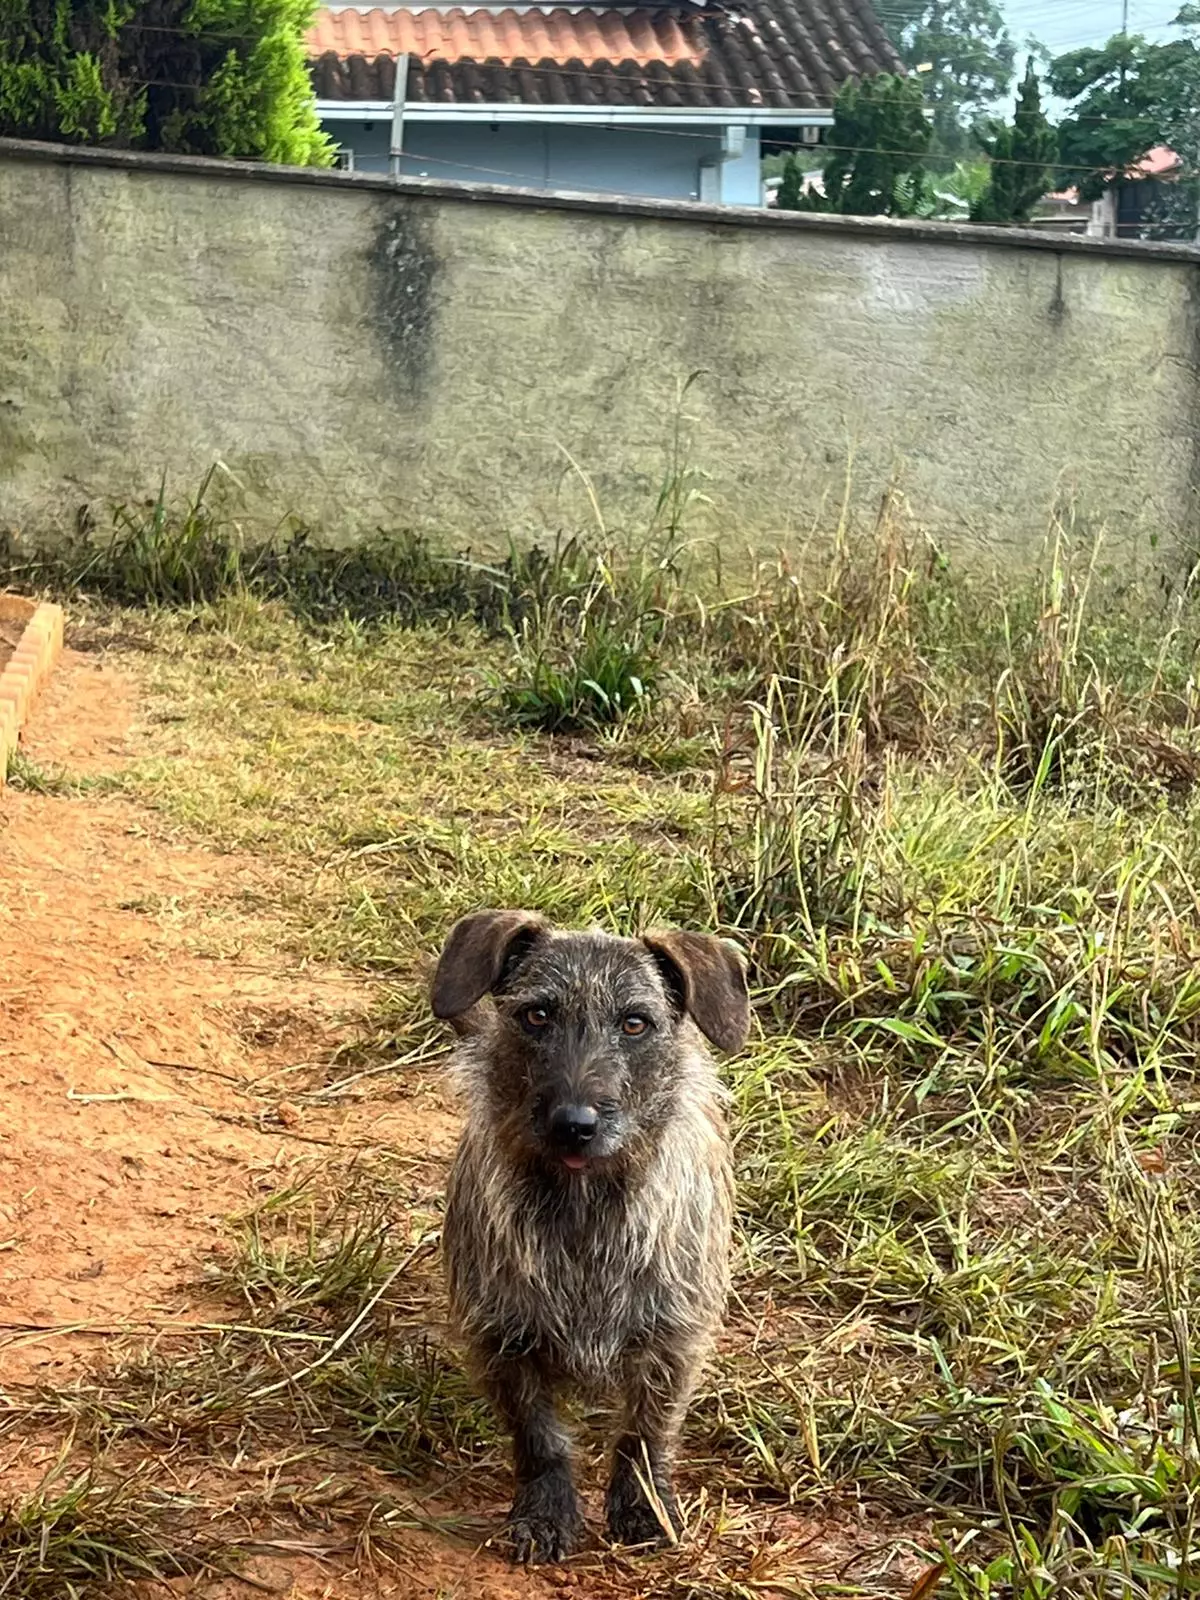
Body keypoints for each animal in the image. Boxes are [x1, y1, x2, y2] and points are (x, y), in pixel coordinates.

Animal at [432, 915, 752, 1561]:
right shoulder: (502, 1339)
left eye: (635, 1023)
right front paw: (547, 1512)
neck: (584, 1215)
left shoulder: (672, 1342)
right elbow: (539, 1437)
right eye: (536, 1015)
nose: (573, 1125)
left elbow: (644, 1435)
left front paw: (644, 1507)